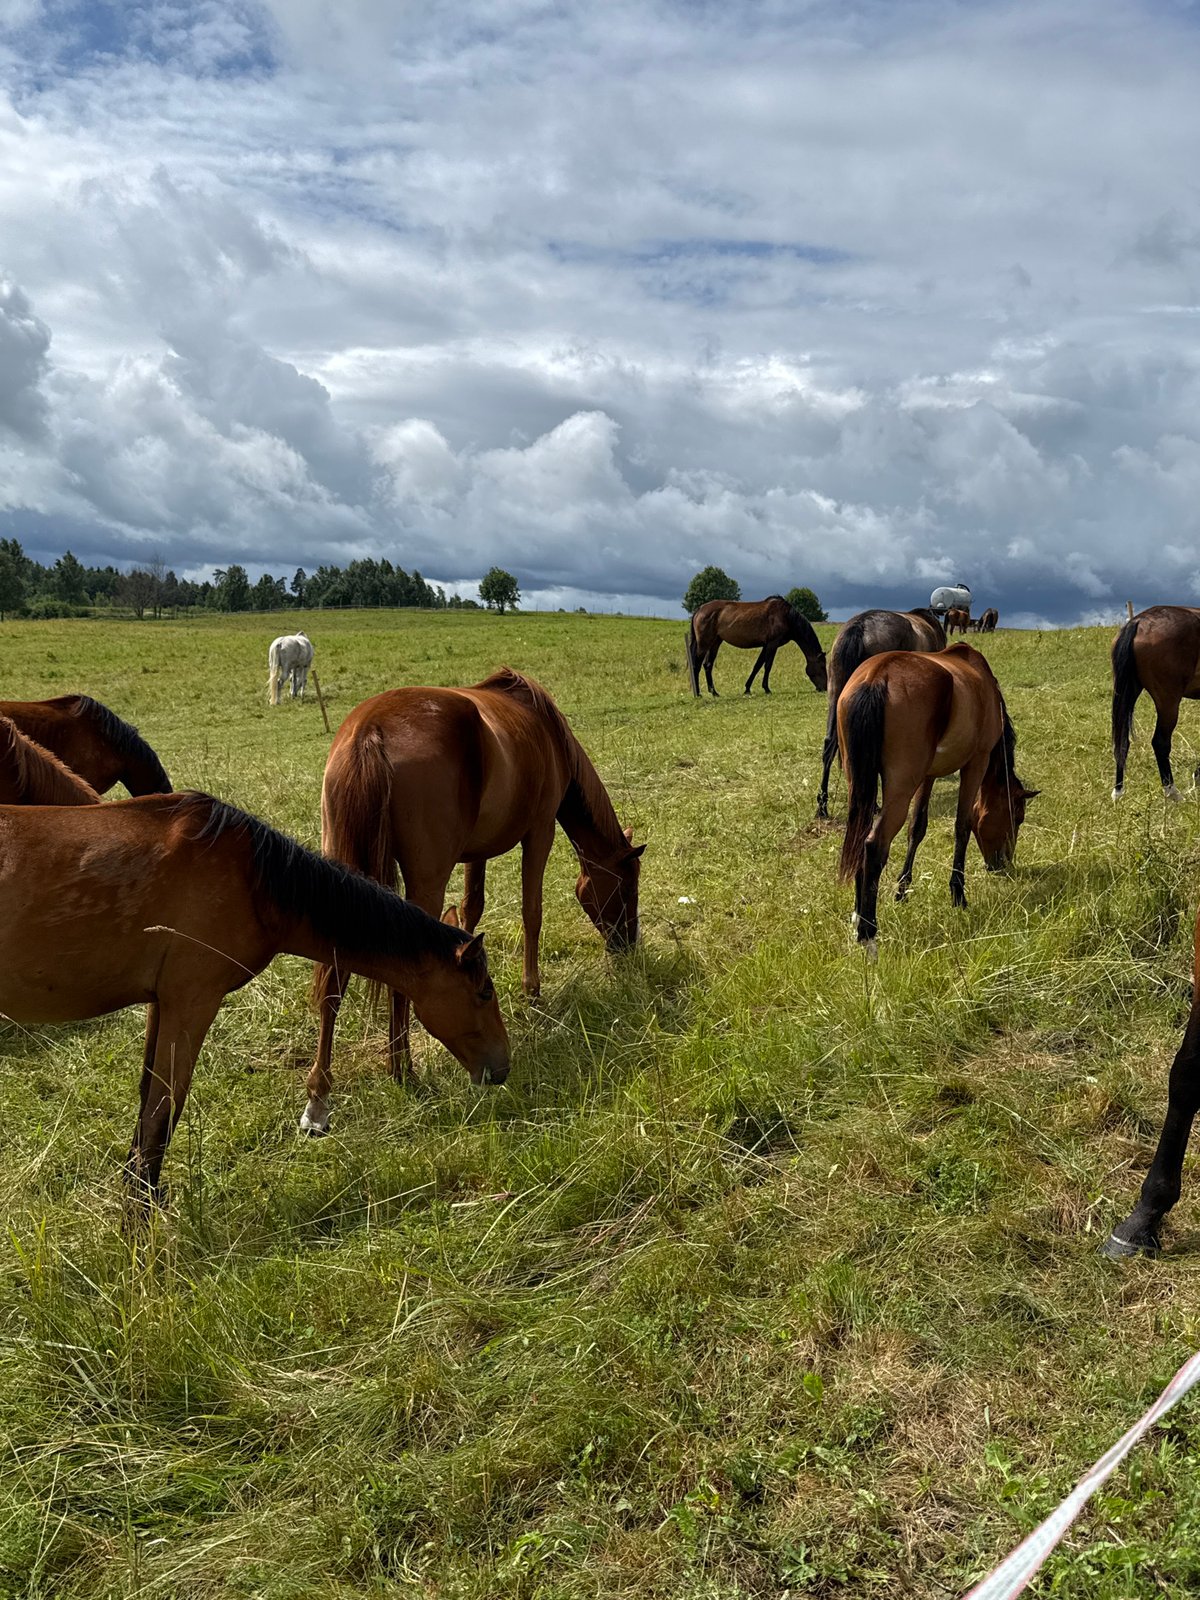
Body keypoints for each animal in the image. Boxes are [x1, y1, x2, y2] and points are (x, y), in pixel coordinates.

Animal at [0, 793, 508, 1206]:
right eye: (484, 992)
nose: (502, 1067)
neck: (253, 879)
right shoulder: (191, 1003)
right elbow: (159, 1123)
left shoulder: (160, 1005)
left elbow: (147, 1111)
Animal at [311, 666, 643, 1111]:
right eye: (627, 888)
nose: (627, 944)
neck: (546, 730)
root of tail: (371, 731)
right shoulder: (539, 832)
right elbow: (531, 911)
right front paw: (532, 992)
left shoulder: (476, 852)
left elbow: (471, 909)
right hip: (426, 880)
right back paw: (402, 1068)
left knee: (332, 976)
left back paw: (320, 1086)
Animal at [686, 597, 828, 697]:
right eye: (822, 666)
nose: (825, 687)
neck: (786, 617)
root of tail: (700, 609)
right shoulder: (772, 644)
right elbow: (767, 666)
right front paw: (767, 688)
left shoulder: (766, 645)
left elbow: (757, 665)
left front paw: (747, 688)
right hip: (704, 644)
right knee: (696, 665)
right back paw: (698, 693)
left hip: (715, 642)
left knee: (708, 665)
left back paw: (714, 692)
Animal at [837, 644, 1038, 955]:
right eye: (1017, 818)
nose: (1002, 863)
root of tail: (877, 676)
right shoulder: (976, 763)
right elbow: (962, 827)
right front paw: (958, 894)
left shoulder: (927, 776)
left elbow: (917, 828)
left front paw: (902, 890)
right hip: (900, 787)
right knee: (874, 844)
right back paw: (868, 933)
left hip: (859, 784)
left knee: (861, 838)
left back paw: (859, 915)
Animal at [1111, 606, 1200, 801]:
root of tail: (1138, 622)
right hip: (1168, 702)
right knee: (1160, 743)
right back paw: (1173, 793)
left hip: (1129, 691)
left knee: (1122, 741)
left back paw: (1118, 793)